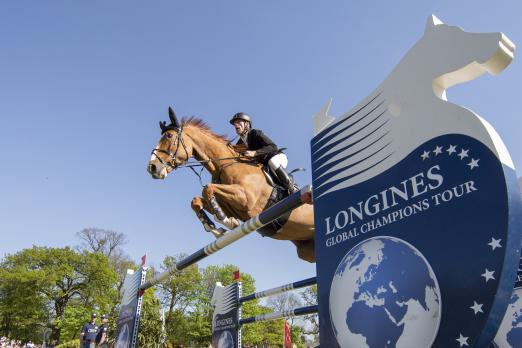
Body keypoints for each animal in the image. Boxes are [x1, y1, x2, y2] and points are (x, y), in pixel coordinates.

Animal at [145, 107, 312, 262]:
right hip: (306, 251)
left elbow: (208, 189)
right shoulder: (233, 206)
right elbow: (196, 201)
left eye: (169, 136)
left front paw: (225, 220)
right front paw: (215, 228)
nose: (151, 168)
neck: (225, 166)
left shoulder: (246, 199)